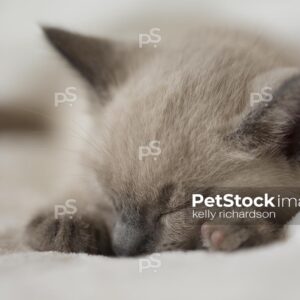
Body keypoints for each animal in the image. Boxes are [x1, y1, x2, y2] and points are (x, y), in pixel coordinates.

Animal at [25, 26, 300, 255]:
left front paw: (235, 229)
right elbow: (75, 191)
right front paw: (66, 224)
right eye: (109, 197)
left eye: (176, 209)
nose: (123, 249)